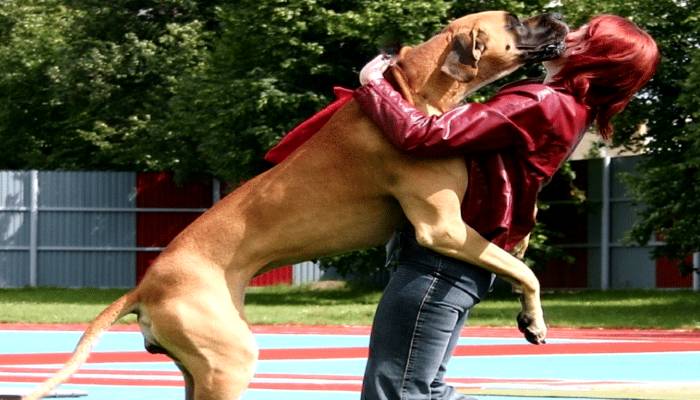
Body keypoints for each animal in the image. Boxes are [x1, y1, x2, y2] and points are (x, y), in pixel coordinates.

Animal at [24, 10, 568, 400]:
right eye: (516, 21)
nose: (559, 14)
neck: (414, 90)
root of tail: (145, 285)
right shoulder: (445, 228)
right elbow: (525, 270)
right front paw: (534, 318)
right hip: (228, 364)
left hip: (199, 370)